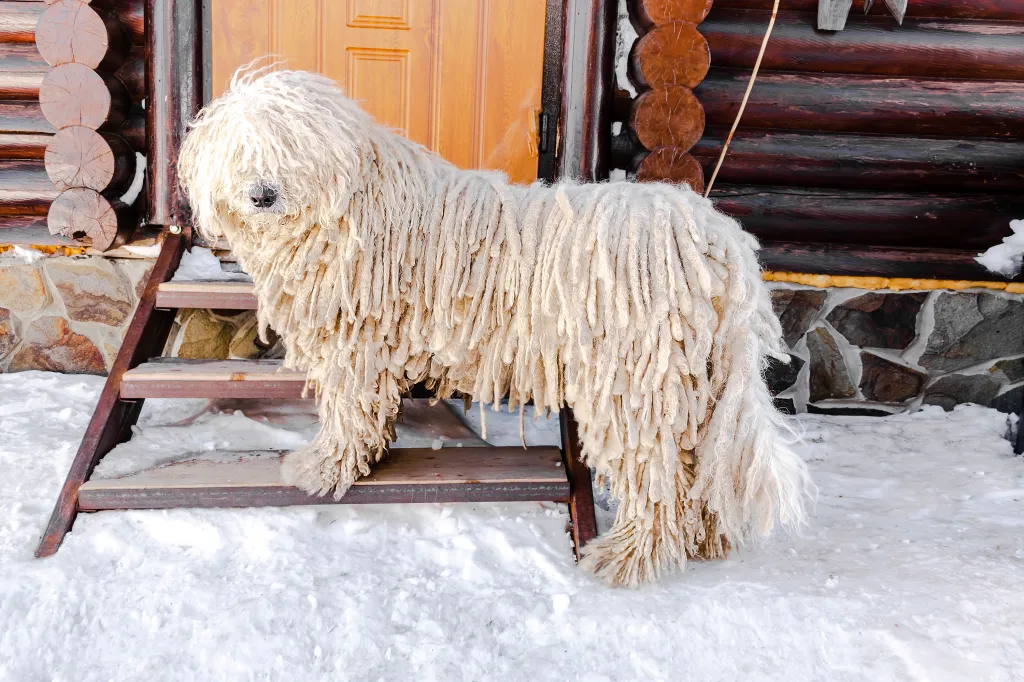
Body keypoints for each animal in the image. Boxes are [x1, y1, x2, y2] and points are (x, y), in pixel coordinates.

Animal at [178, 70, 815, 589]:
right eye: (241, 151)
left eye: (290, 148)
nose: (262, 193)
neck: (354, 210)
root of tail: (718, 238)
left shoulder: (354, 344)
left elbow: (347, 409)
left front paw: (322, 467)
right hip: (697, 379)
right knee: (697, 466)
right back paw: (705, 541)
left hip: (636, 381)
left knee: (655, 476)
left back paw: (627, 558)